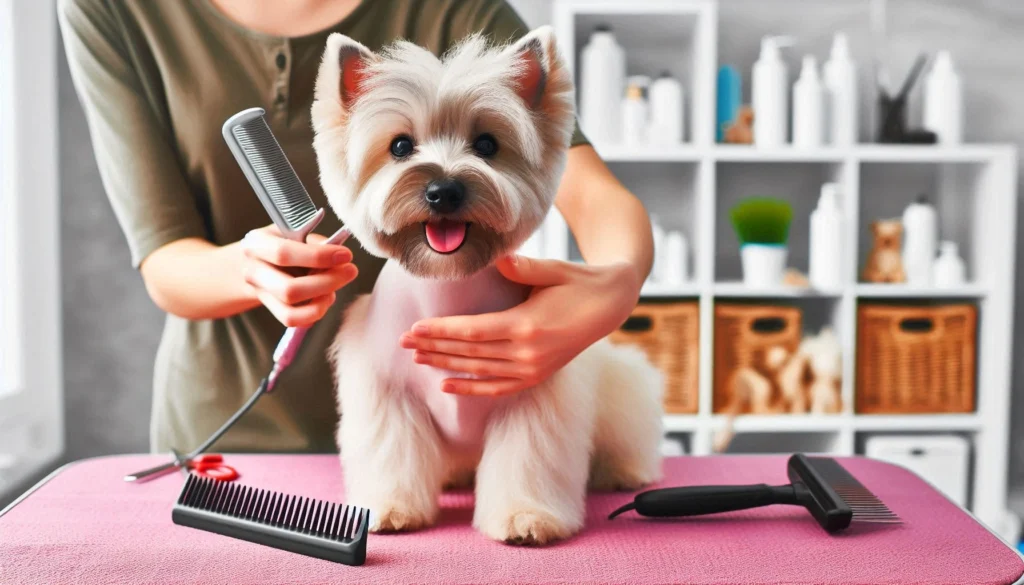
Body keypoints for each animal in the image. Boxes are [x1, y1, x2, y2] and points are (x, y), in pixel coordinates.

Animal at [311, 22, 663, 545]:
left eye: (487, 145)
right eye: (400, 147)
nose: (443, 190)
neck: (447, 289)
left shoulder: (532, 392)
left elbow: (527, 458)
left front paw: (525, 516)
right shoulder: (388, 394)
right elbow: (390, 450)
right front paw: (388, 507)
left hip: (620, 389)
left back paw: (624, 471)